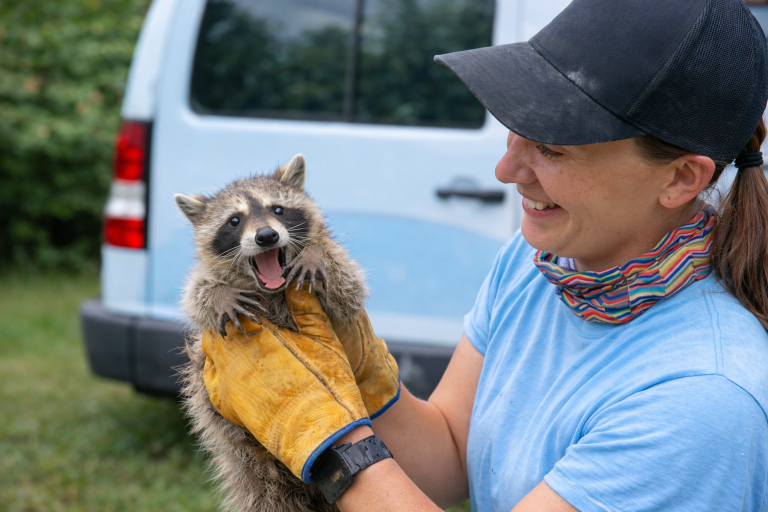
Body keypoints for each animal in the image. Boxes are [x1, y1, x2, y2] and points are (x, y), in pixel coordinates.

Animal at [175, 154, 367, 512]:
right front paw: (217, 295)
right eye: (234, 220)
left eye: (277, 209)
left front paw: (316, 251)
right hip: (244, 455)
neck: (271, 291)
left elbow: (350, 288)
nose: (266, 236)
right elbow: (196, 293)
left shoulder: (345, 287)